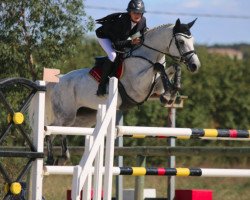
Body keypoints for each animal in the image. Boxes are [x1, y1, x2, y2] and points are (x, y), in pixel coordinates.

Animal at [28, 18, 201, 164]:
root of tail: (58, 80)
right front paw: (169, 94)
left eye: (192, 41)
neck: (147, 56)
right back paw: (54, 157)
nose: (195, 66)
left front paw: (170, 94)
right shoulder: (138, 87)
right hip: (66, 114)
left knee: (59, 131)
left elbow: (173, 69)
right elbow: (159, 67)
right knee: (49, 128)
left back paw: (60, 157)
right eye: (181, 41)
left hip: (82, 119)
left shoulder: (154, 89)